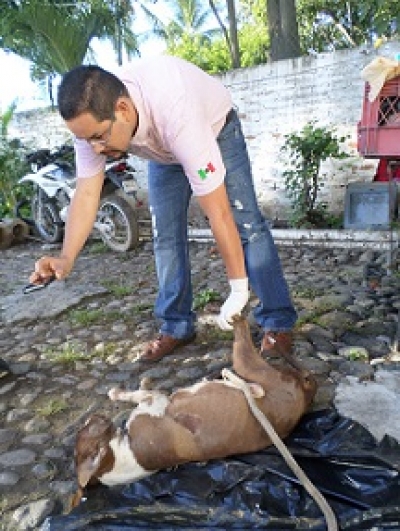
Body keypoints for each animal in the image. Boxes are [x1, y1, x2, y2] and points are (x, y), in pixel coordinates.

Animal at [71, 316, 316, 508]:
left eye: (85, 427)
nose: (93, 416)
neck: (122, 454)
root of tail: (305, 393)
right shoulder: (156, 402)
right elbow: (137, 394)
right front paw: (124, 391)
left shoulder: (155, 402)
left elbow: (137, 392)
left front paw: (128, 387)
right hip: (249, 364)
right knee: (244, 340)